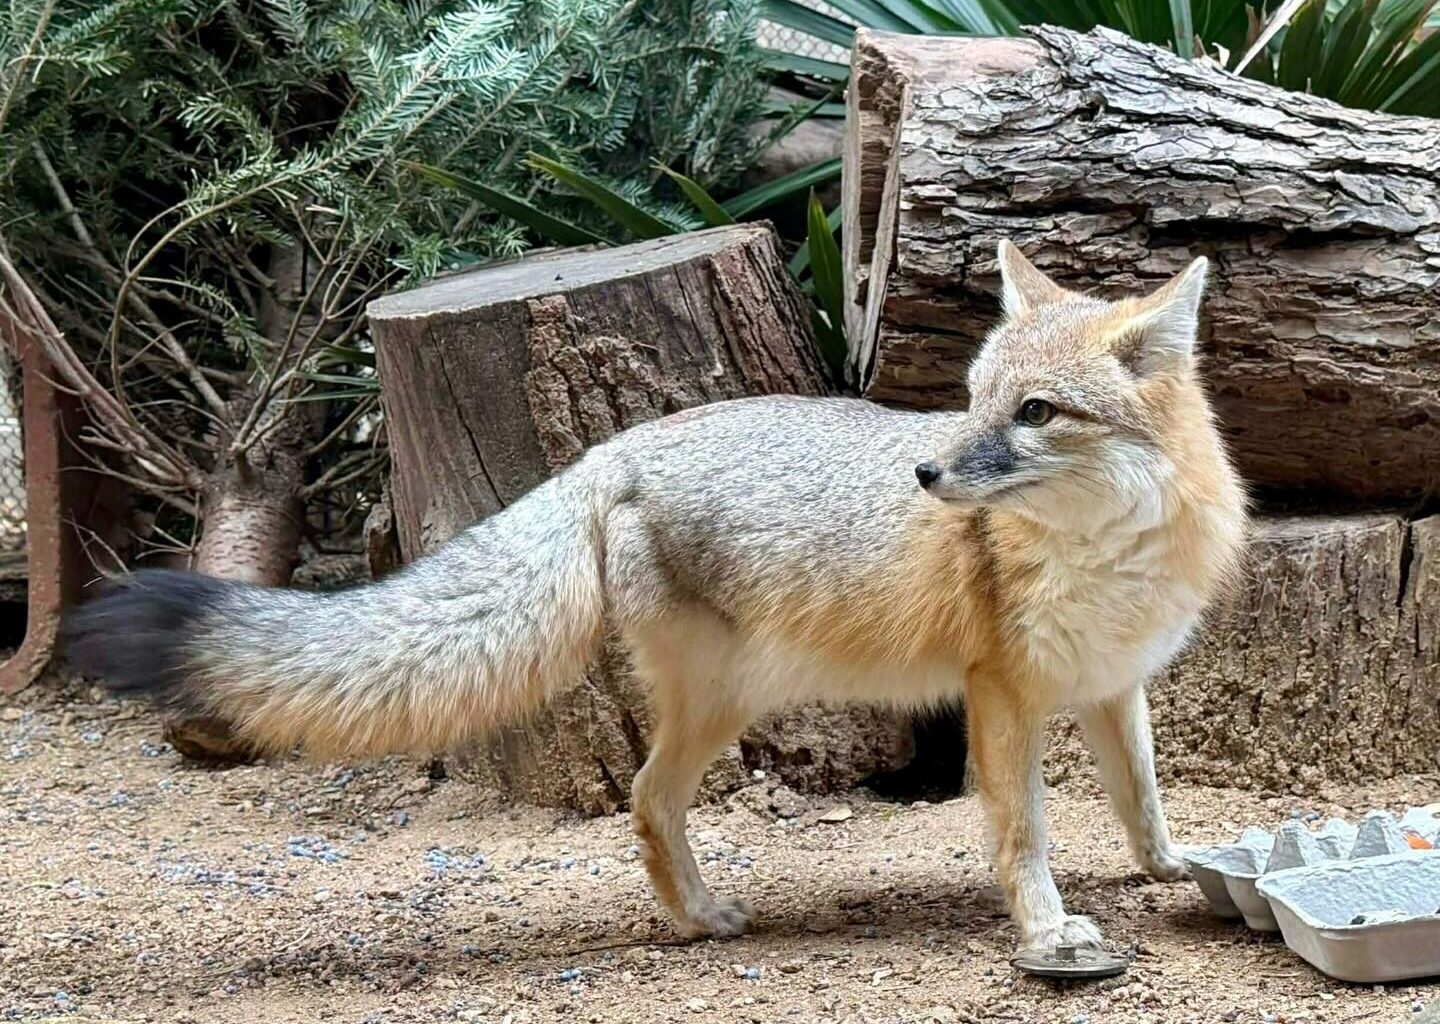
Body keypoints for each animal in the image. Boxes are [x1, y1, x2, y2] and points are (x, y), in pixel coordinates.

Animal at [64, 241, 1247, 950]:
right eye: (971, 401)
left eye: (1035, 411)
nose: (926, 473)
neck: (1110, 550)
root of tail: (616, 448)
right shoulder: (1001, 695)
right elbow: (1023, 834)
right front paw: (1046, 932)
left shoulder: (1111, 686)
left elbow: (1143, 800)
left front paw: (1172, 868)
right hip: (726, 702)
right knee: (643, 797)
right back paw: (698, 915)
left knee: (651, 800)